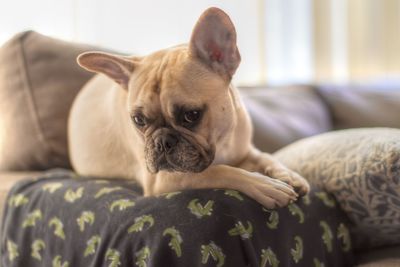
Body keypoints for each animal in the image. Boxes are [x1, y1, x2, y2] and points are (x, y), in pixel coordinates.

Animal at [69, 6, 310, 209]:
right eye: (139, 121)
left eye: (191, 115)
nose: (161, 142)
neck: (221, 142)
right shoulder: (166, 177)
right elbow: (220, 171)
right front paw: (265, 185)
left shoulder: (247, 150)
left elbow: (266, 156)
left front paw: (288, 175)